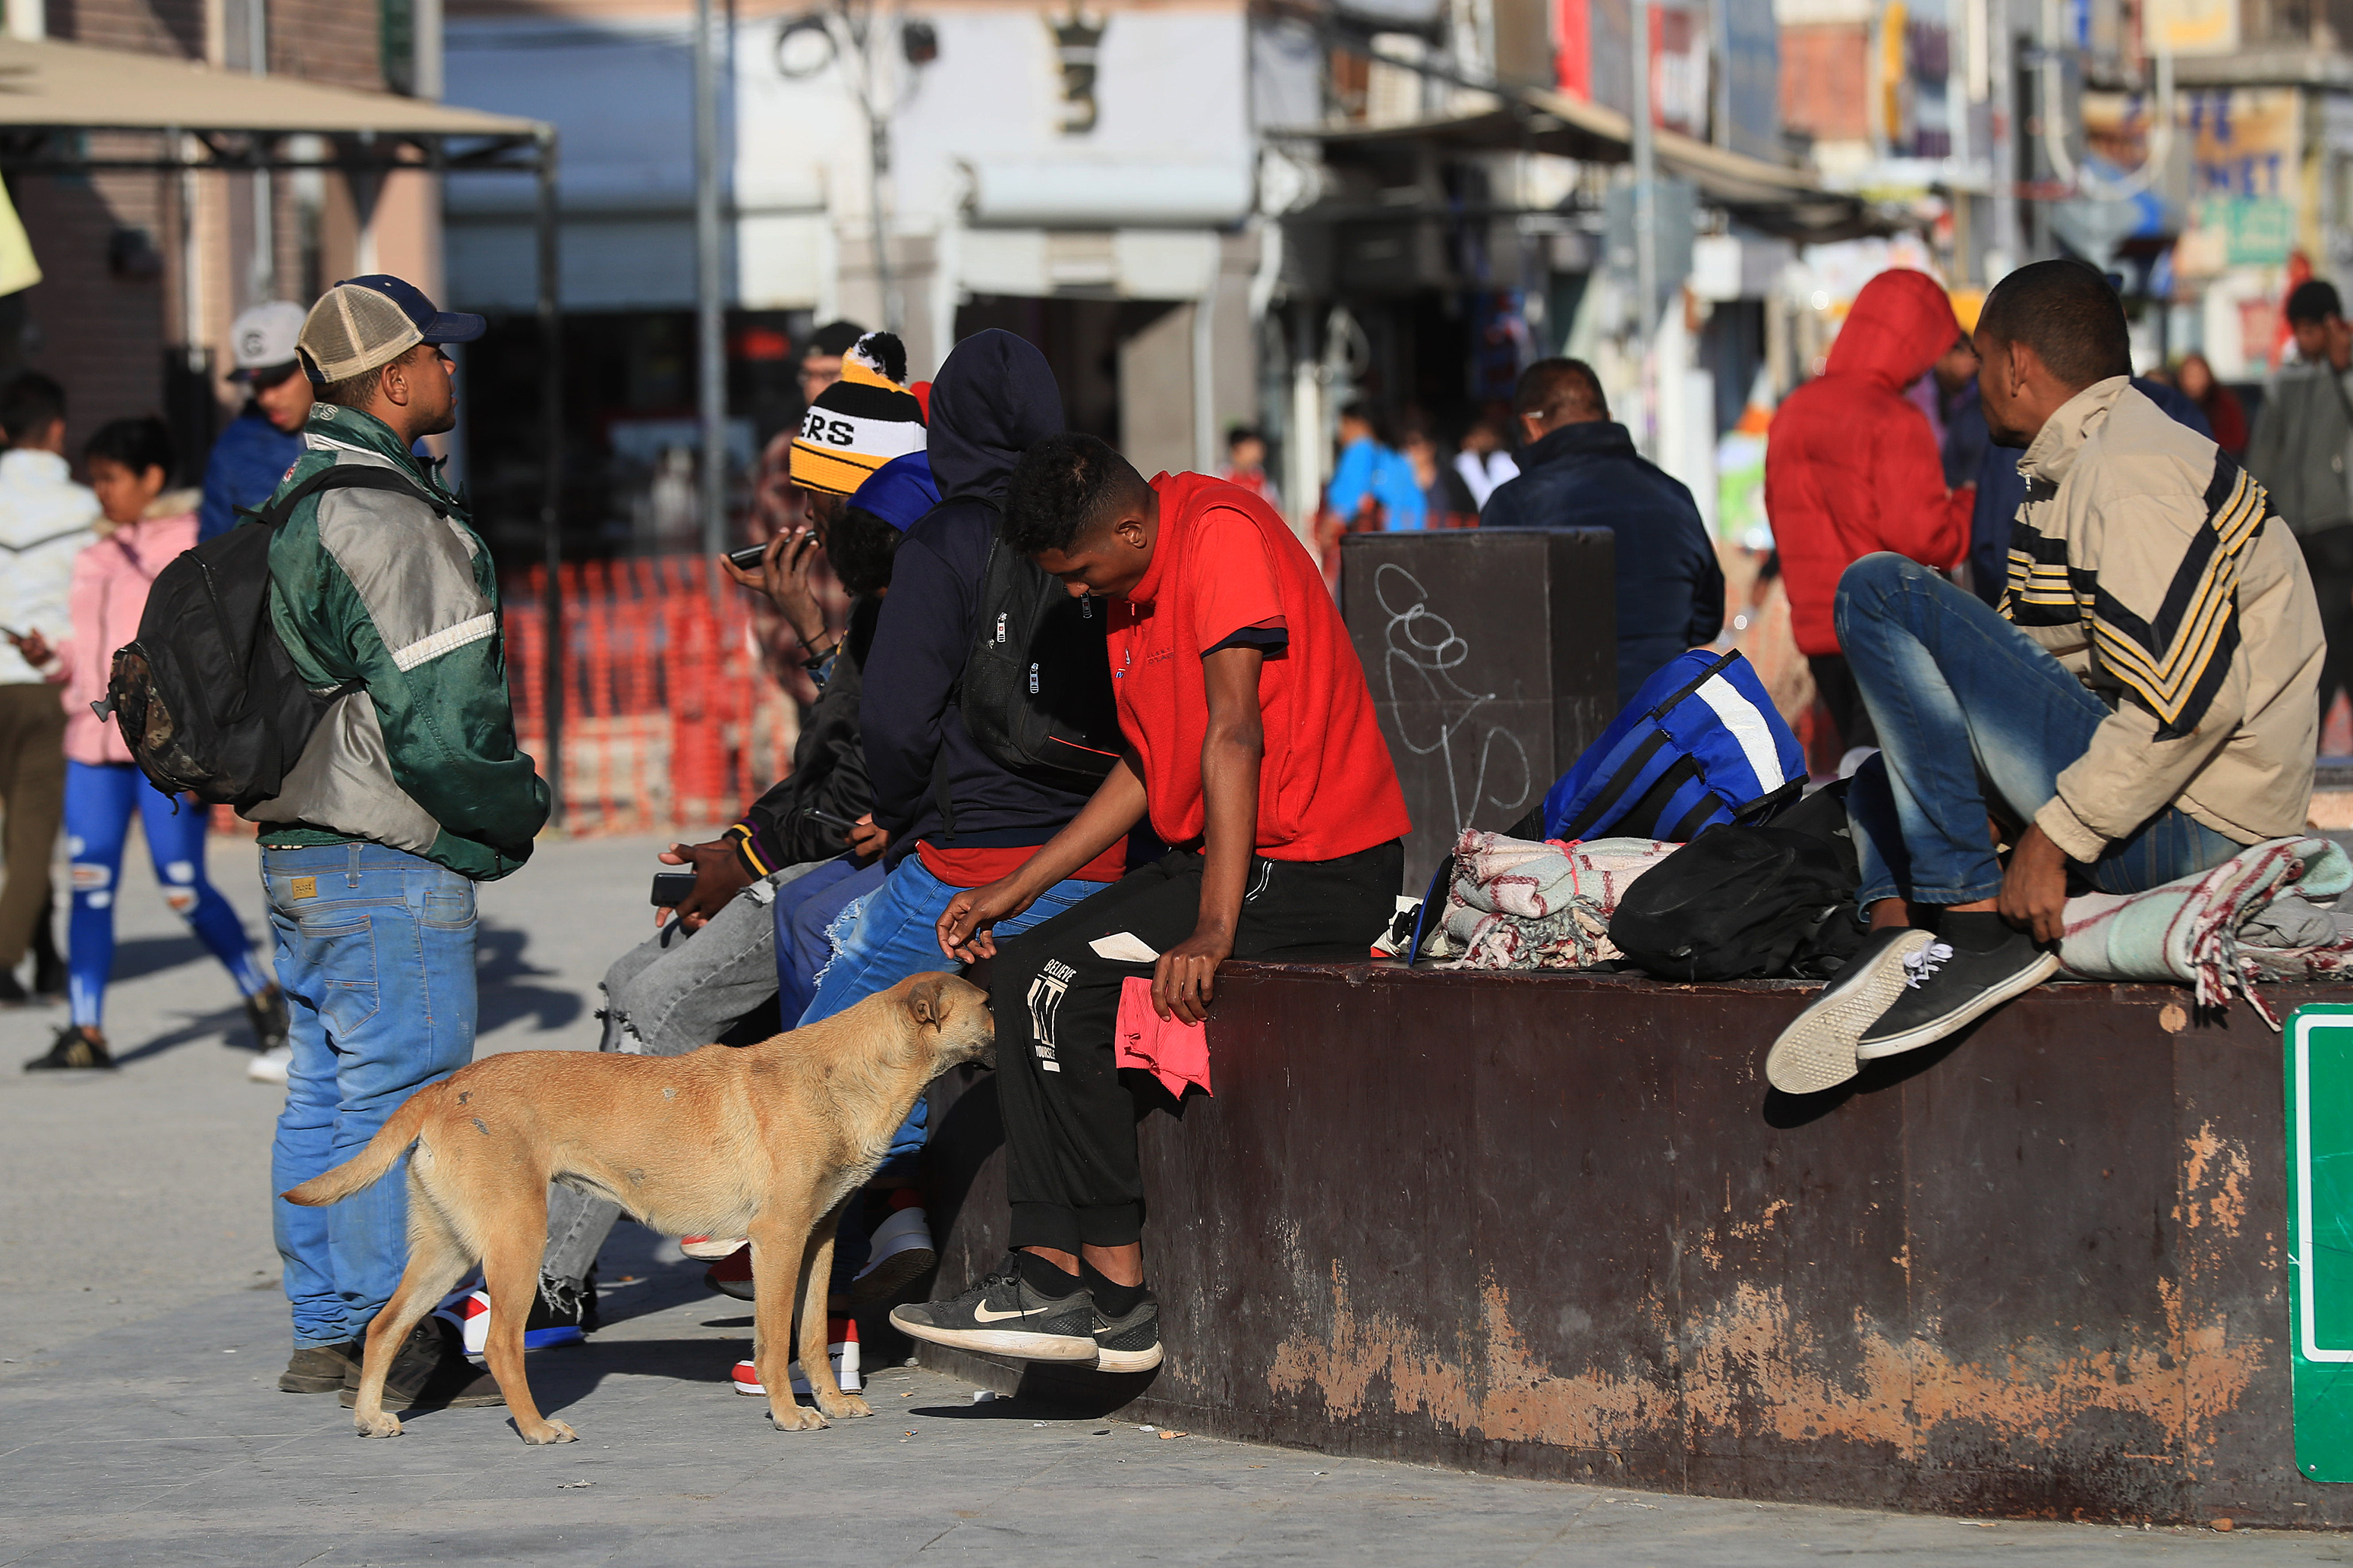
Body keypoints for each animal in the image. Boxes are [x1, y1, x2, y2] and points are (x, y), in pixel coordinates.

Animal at [279, 979, 988, 1440]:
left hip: (447, 1250)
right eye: (987, 1006)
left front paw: (835, 1403)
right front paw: (789, 1414)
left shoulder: (818, 1240)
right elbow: (772, 1341)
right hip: (515, 1239)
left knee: (383, 1326)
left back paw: (371, 1417)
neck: (843, 1075)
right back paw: (535, 1428)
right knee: (504, 1344)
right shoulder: (778, 1239)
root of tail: (445, 1088)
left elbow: (812, 1335)